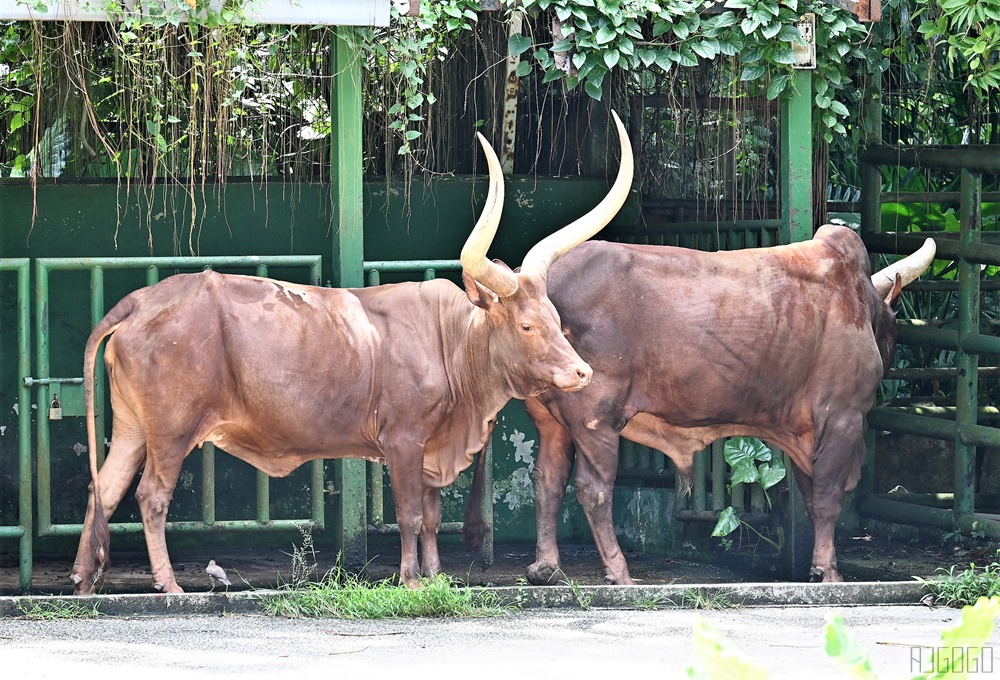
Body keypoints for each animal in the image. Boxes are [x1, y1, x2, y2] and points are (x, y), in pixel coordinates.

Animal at [70, 110, 632, 588]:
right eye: (527, 325)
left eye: (558, 320)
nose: (581, 373)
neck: (449, 342)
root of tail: (141, 301)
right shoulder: (403, 441)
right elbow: (409, 513)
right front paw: (411, 580)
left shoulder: (432, 447)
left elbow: (432, 516)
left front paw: (436, 576)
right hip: (171, 429)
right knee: (150, 496)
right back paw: (168, 586)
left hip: (132, 427)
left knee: (106, 487)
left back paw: (83, 580)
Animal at [516, 227, 936, 584]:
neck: (862, 302)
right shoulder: (842, 418)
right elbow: (827, 497)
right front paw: (828, 572)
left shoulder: (806, 431)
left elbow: (813, 495)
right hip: (596, 418)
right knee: (594, 488)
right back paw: (619, 574)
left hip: (551, 421)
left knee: (548, 480)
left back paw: (545, 567)